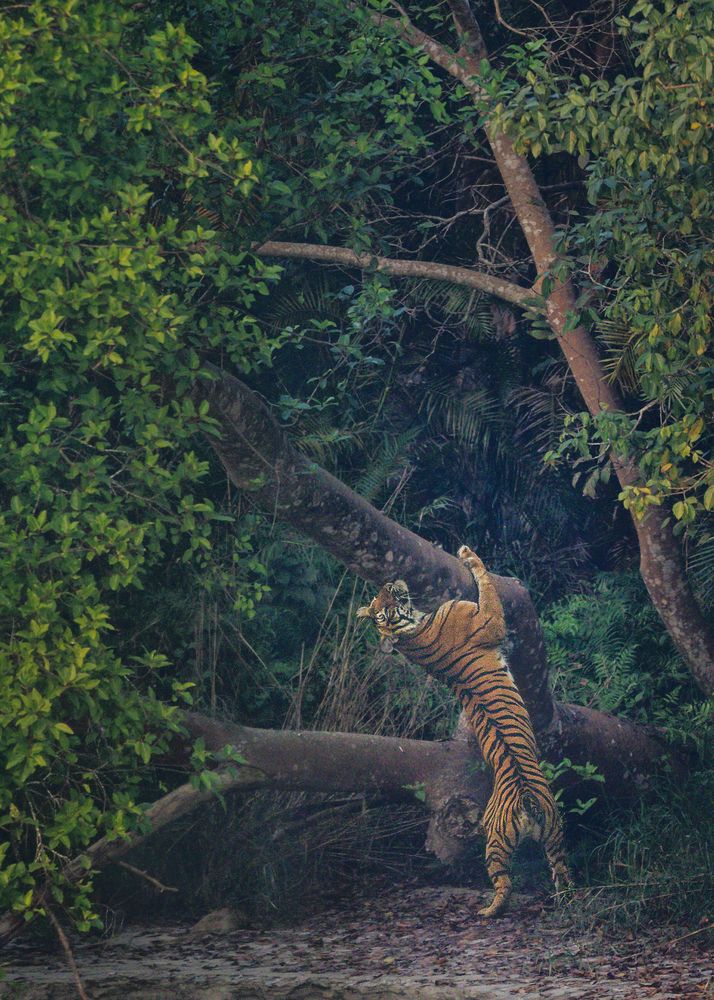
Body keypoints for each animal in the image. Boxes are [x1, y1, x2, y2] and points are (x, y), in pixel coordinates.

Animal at [357, 544, 570, 917]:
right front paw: (468, 554)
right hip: (499, 842)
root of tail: (526, 799)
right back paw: (488, 911)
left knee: (563, 877)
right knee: (505, 882)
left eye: (380, 602)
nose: (391, 582)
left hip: (553, 832)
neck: (413, 631)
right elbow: (485, 581)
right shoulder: (489, 620)